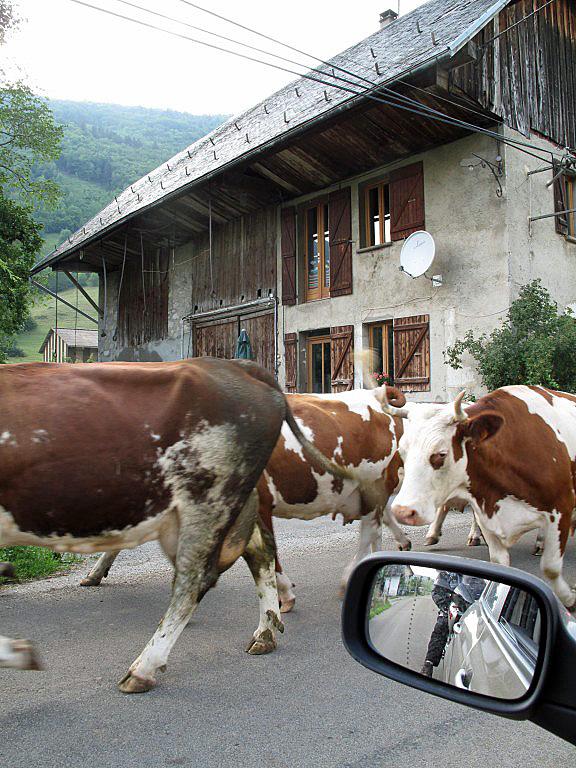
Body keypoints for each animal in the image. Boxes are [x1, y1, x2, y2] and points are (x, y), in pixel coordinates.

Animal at [0, 358, 347, 692]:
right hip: (225, 502)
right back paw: (266, 632)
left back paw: (143, 669)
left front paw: (19, 652)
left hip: (208, 497)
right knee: (259, 553)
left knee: (195, 578)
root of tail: (231, 364)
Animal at [382, 385, 576, 609]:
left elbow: (551, 567)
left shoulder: (561, 509)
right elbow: (499, 564)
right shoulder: (486, 513)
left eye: (440, 454)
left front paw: (569, 600)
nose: (402, 512)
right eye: (402, 451)